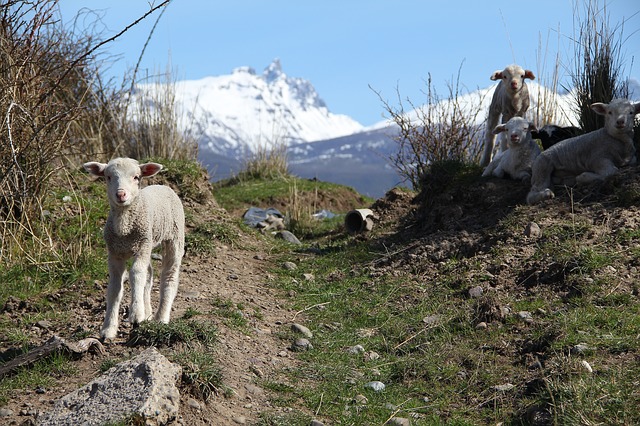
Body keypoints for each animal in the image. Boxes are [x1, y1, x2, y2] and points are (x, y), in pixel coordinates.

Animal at [81, 156, 184, 340]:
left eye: (136, 177)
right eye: (108, 177)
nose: (121, 194)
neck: (125, 228)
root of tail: (163, 186)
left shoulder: (142, 244)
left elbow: (135, 274)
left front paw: (136, 315)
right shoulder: (115, 253)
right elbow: (115, 288)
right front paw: (108, 328)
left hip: (173, 238)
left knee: (169, 276)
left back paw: (161, 318)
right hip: (148, 244)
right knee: (148, 274)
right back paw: (148, 312)